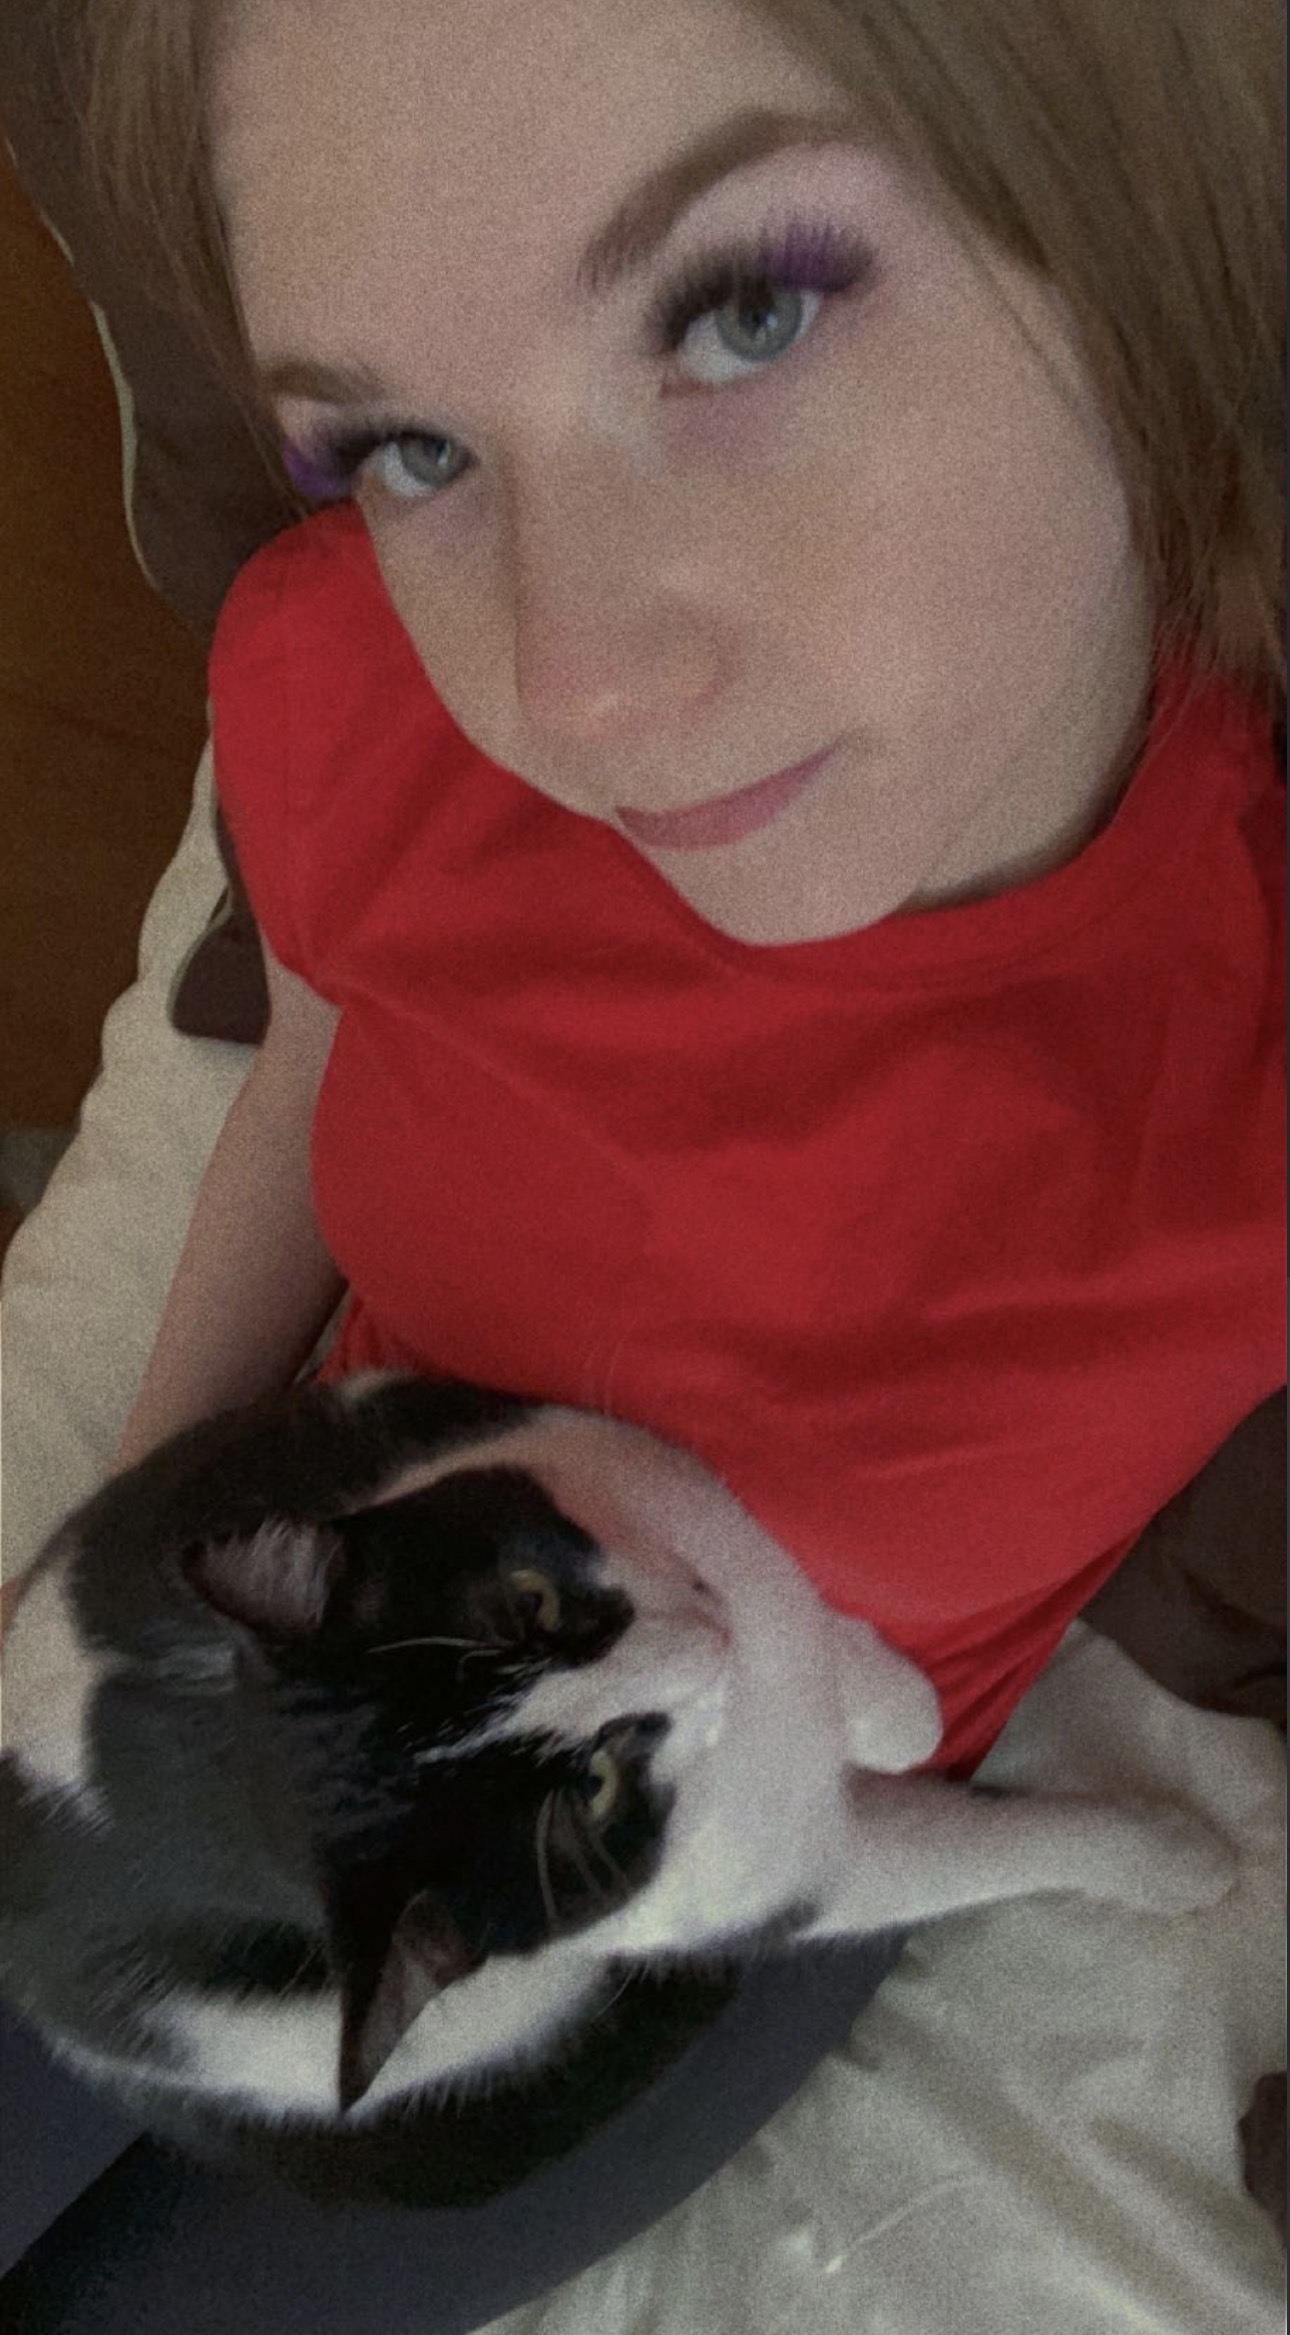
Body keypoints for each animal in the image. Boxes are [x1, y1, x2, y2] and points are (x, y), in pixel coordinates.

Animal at [0, 1370, 1236, 2208]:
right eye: (591, 1792)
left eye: (532, 1600)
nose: (700, 1649)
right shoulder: (752, 1879)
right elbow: (951, 1857)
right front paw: (1173, 1860)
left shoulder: (532, 1442)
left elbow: (771, 1579)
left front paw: (885, 1699)